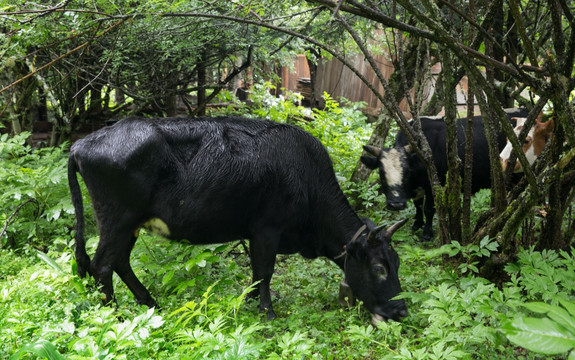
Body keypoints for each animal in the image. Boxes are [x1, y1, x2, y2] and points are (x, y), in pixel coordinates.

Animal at [67, 116, 410, 322]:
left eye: (397, 263)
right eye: (379, 267)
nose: (402, 310)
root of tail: (81, 143)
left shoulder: (256, 233)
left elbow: (257, 274)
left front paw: (252, 302)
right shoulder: (267, 230)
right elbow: (265, 272)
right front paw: (267, 313)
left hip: (129, 225)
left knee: (119, 262)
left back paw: (151, 303)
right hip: (117, 220)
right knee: (102, 265)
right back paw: (114, 316)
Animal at [362, 107, 528, 242]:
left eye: (407, 172)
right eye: (381, 172)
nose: (396, 204)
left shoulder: (434, 184)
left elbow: (429, 209)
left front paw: (426, 234)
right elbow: (418, 205)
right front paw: (417, 224)